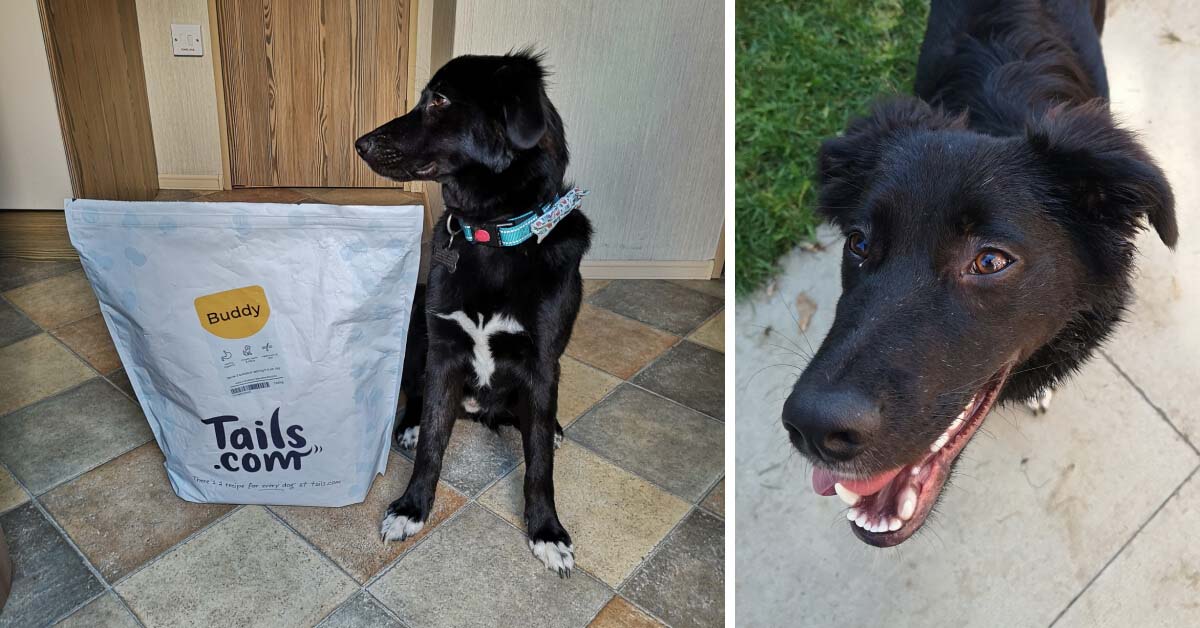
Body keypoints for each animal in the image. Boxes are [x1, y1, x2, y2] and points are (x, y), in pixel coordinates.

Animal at [352, 54, 592, 573]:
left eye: (440, 100)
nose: (359, 144)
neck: (491, 235)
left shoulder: (542, 365)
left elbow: (539, 464)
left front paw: (547, 531)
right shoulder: (442, 350)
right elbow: (431, 446)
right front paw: (411, 507)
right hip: (417, 328)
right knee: (417, 397)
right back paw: (410, 423)